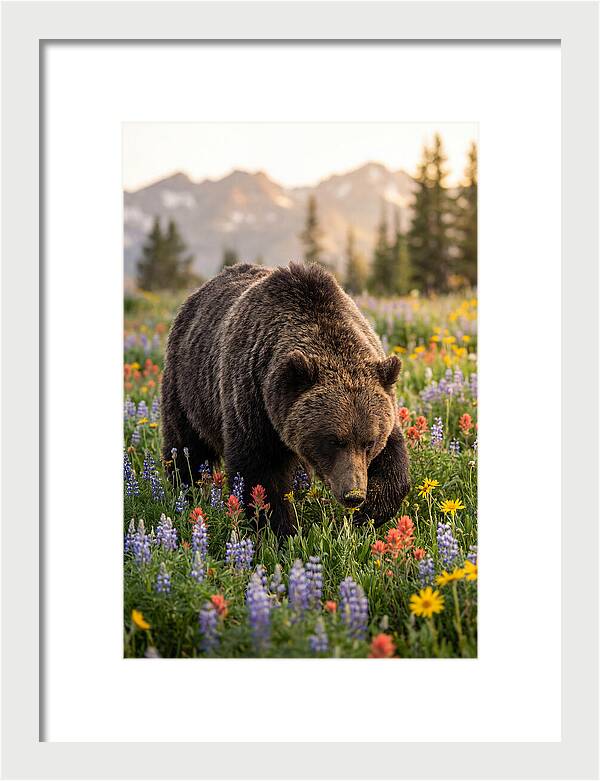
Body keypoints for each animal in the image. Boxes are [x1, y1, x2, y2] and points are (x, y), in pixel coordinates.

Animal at [161, 262, 409, 535]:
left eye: (369, 442)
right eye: (334, 441)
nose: (353, 494)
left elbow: (394, 462)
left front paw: (368, 514)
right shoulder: (253, 402)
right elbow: (260, 473)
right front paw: (280, 531)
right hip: (188, 388)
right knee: (186, 446)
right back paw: (184, 491)